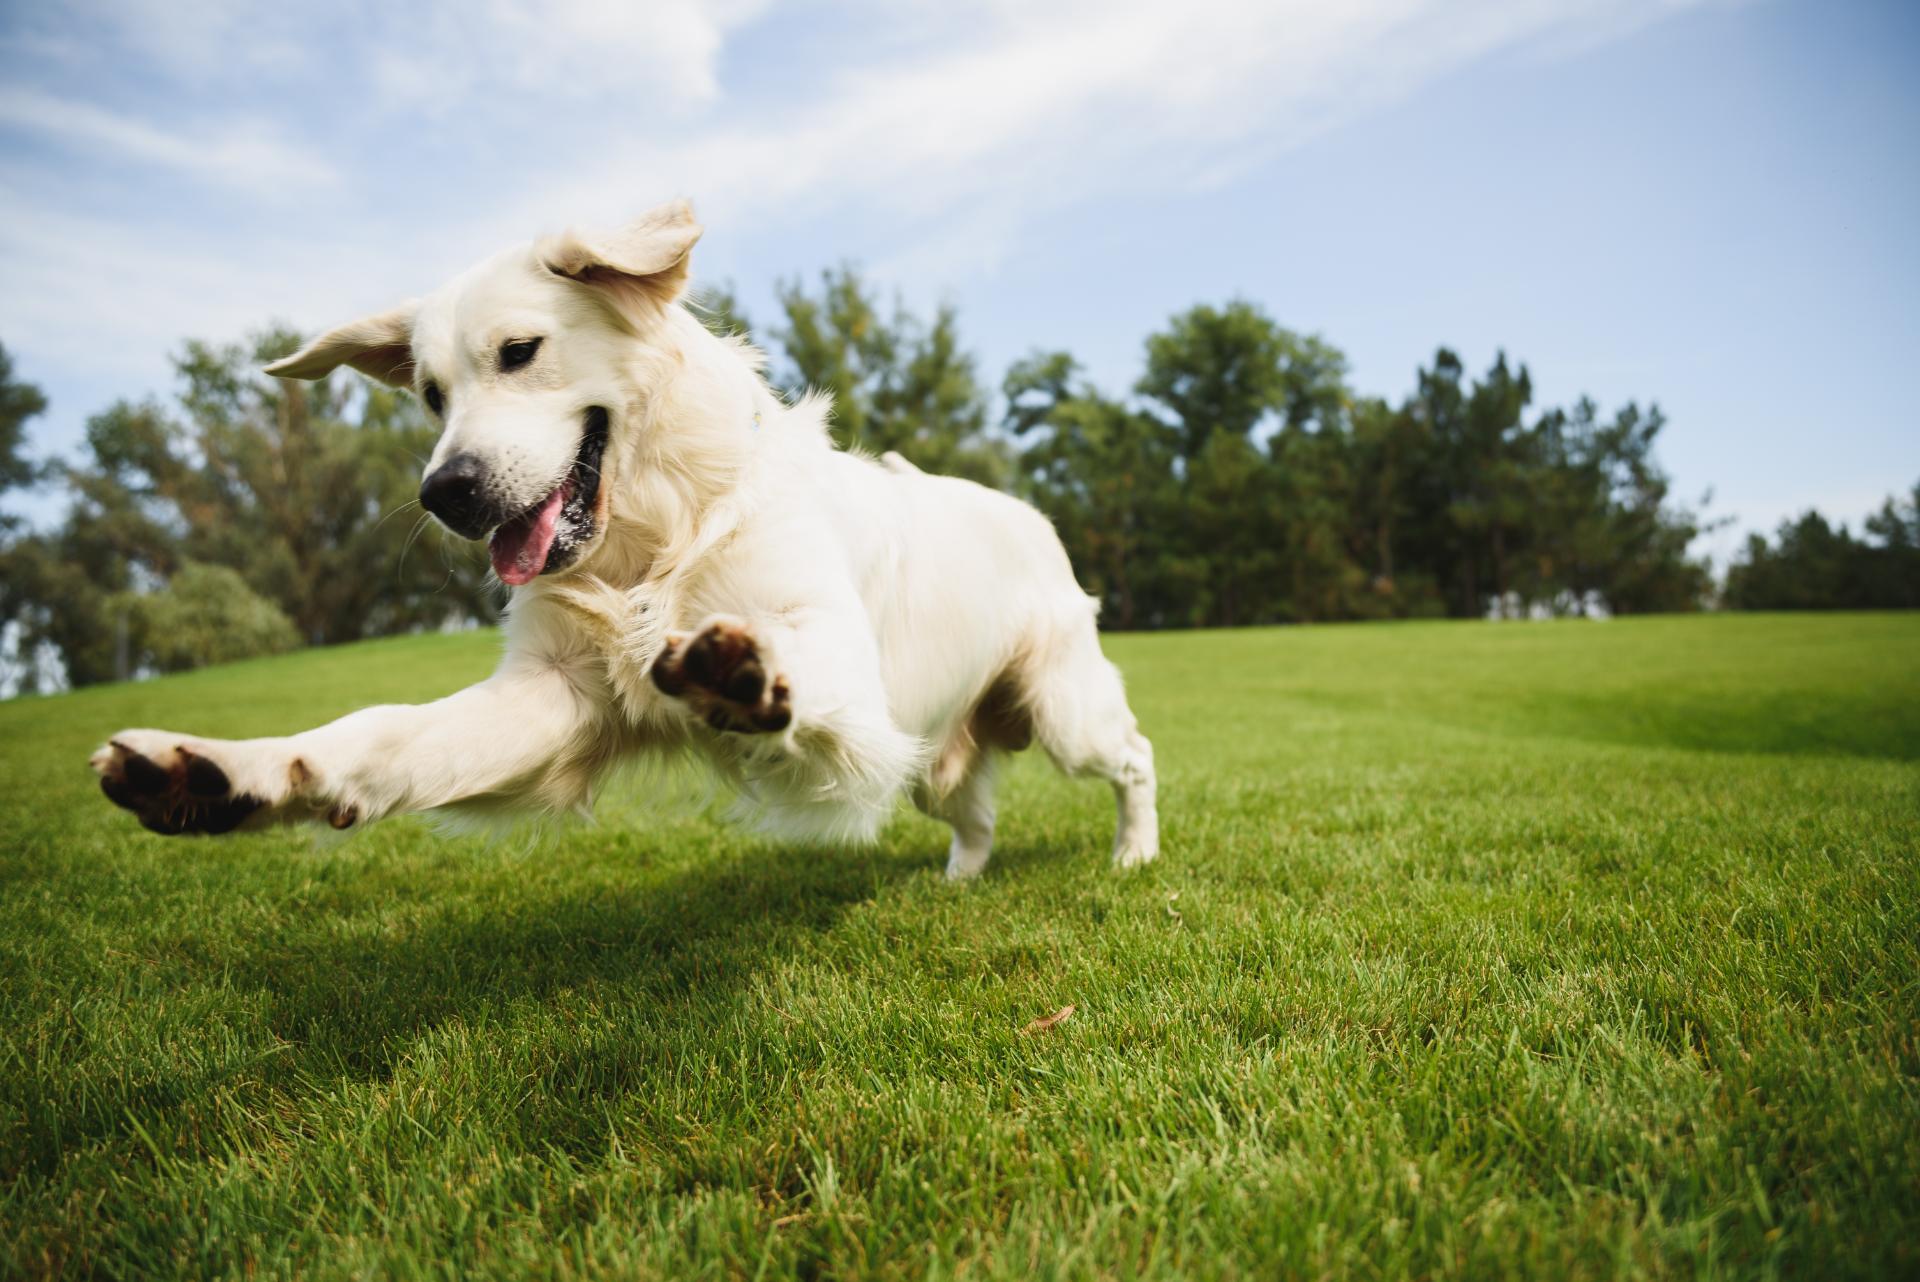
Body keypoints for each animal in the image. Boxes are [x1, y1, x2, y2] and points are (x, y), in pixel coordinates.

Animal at [90, 200, 1152, 882]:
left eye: (520, 352)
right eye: (430, 395)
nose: (445, 493)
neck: (654, 541)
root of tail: (1030, 513)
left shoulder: (843, 669)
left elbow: (793, 662)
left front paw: (742, 674)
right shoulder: (552, 695)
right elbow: (379, 736)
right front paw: (226, 775)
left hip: (1065, 712)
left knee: (1134, 755)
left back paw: (1134, 855)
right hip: (937, 750)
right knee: (974, 811)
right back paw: (959, 879)